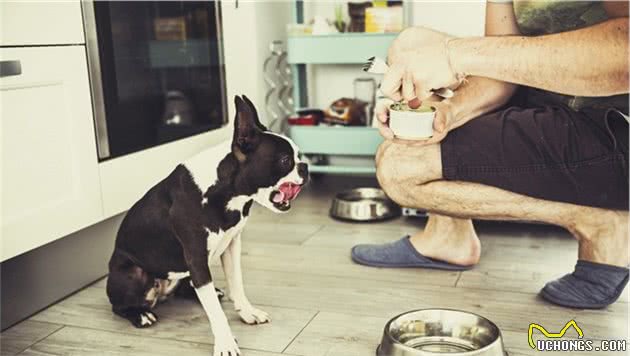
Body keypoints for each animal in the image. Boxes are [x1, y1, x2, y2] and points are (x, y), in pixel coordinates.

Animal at [108, 94, 308, 356]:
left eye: (298, 155)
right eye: (285, 160)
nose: (305, 166)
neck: (225, 190)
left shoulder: (231, 246)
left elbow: (237, 283)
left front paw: (247, 312)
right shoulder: (196, 258)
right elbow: (215, 313)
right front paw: (225, 343)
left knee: (191, 286)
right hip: (134, 273)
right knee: (118, 307)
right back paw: (140, 314)